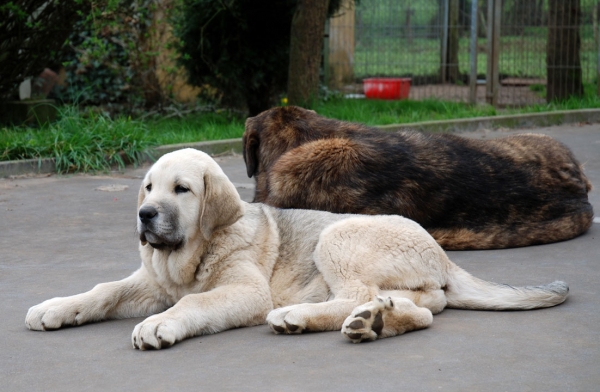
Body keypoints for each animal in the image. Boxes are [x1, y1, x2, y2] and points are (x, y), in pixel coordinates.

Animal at [25, 149, 568, 348]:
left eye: (182, 190)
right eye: (147, 189)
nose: (145, 216)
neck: (189, 256)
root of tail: (444, 254)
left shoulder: (245, 292)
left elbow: (194, 303)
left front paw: (161, 324)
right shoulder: (150, 281)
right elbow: (105, 289)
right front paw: (57, 307)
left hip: (338, 236)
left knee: (354, 295)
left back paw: (304, 317)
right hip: (399, 281)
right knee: (420, 309)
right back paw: (377, 321)